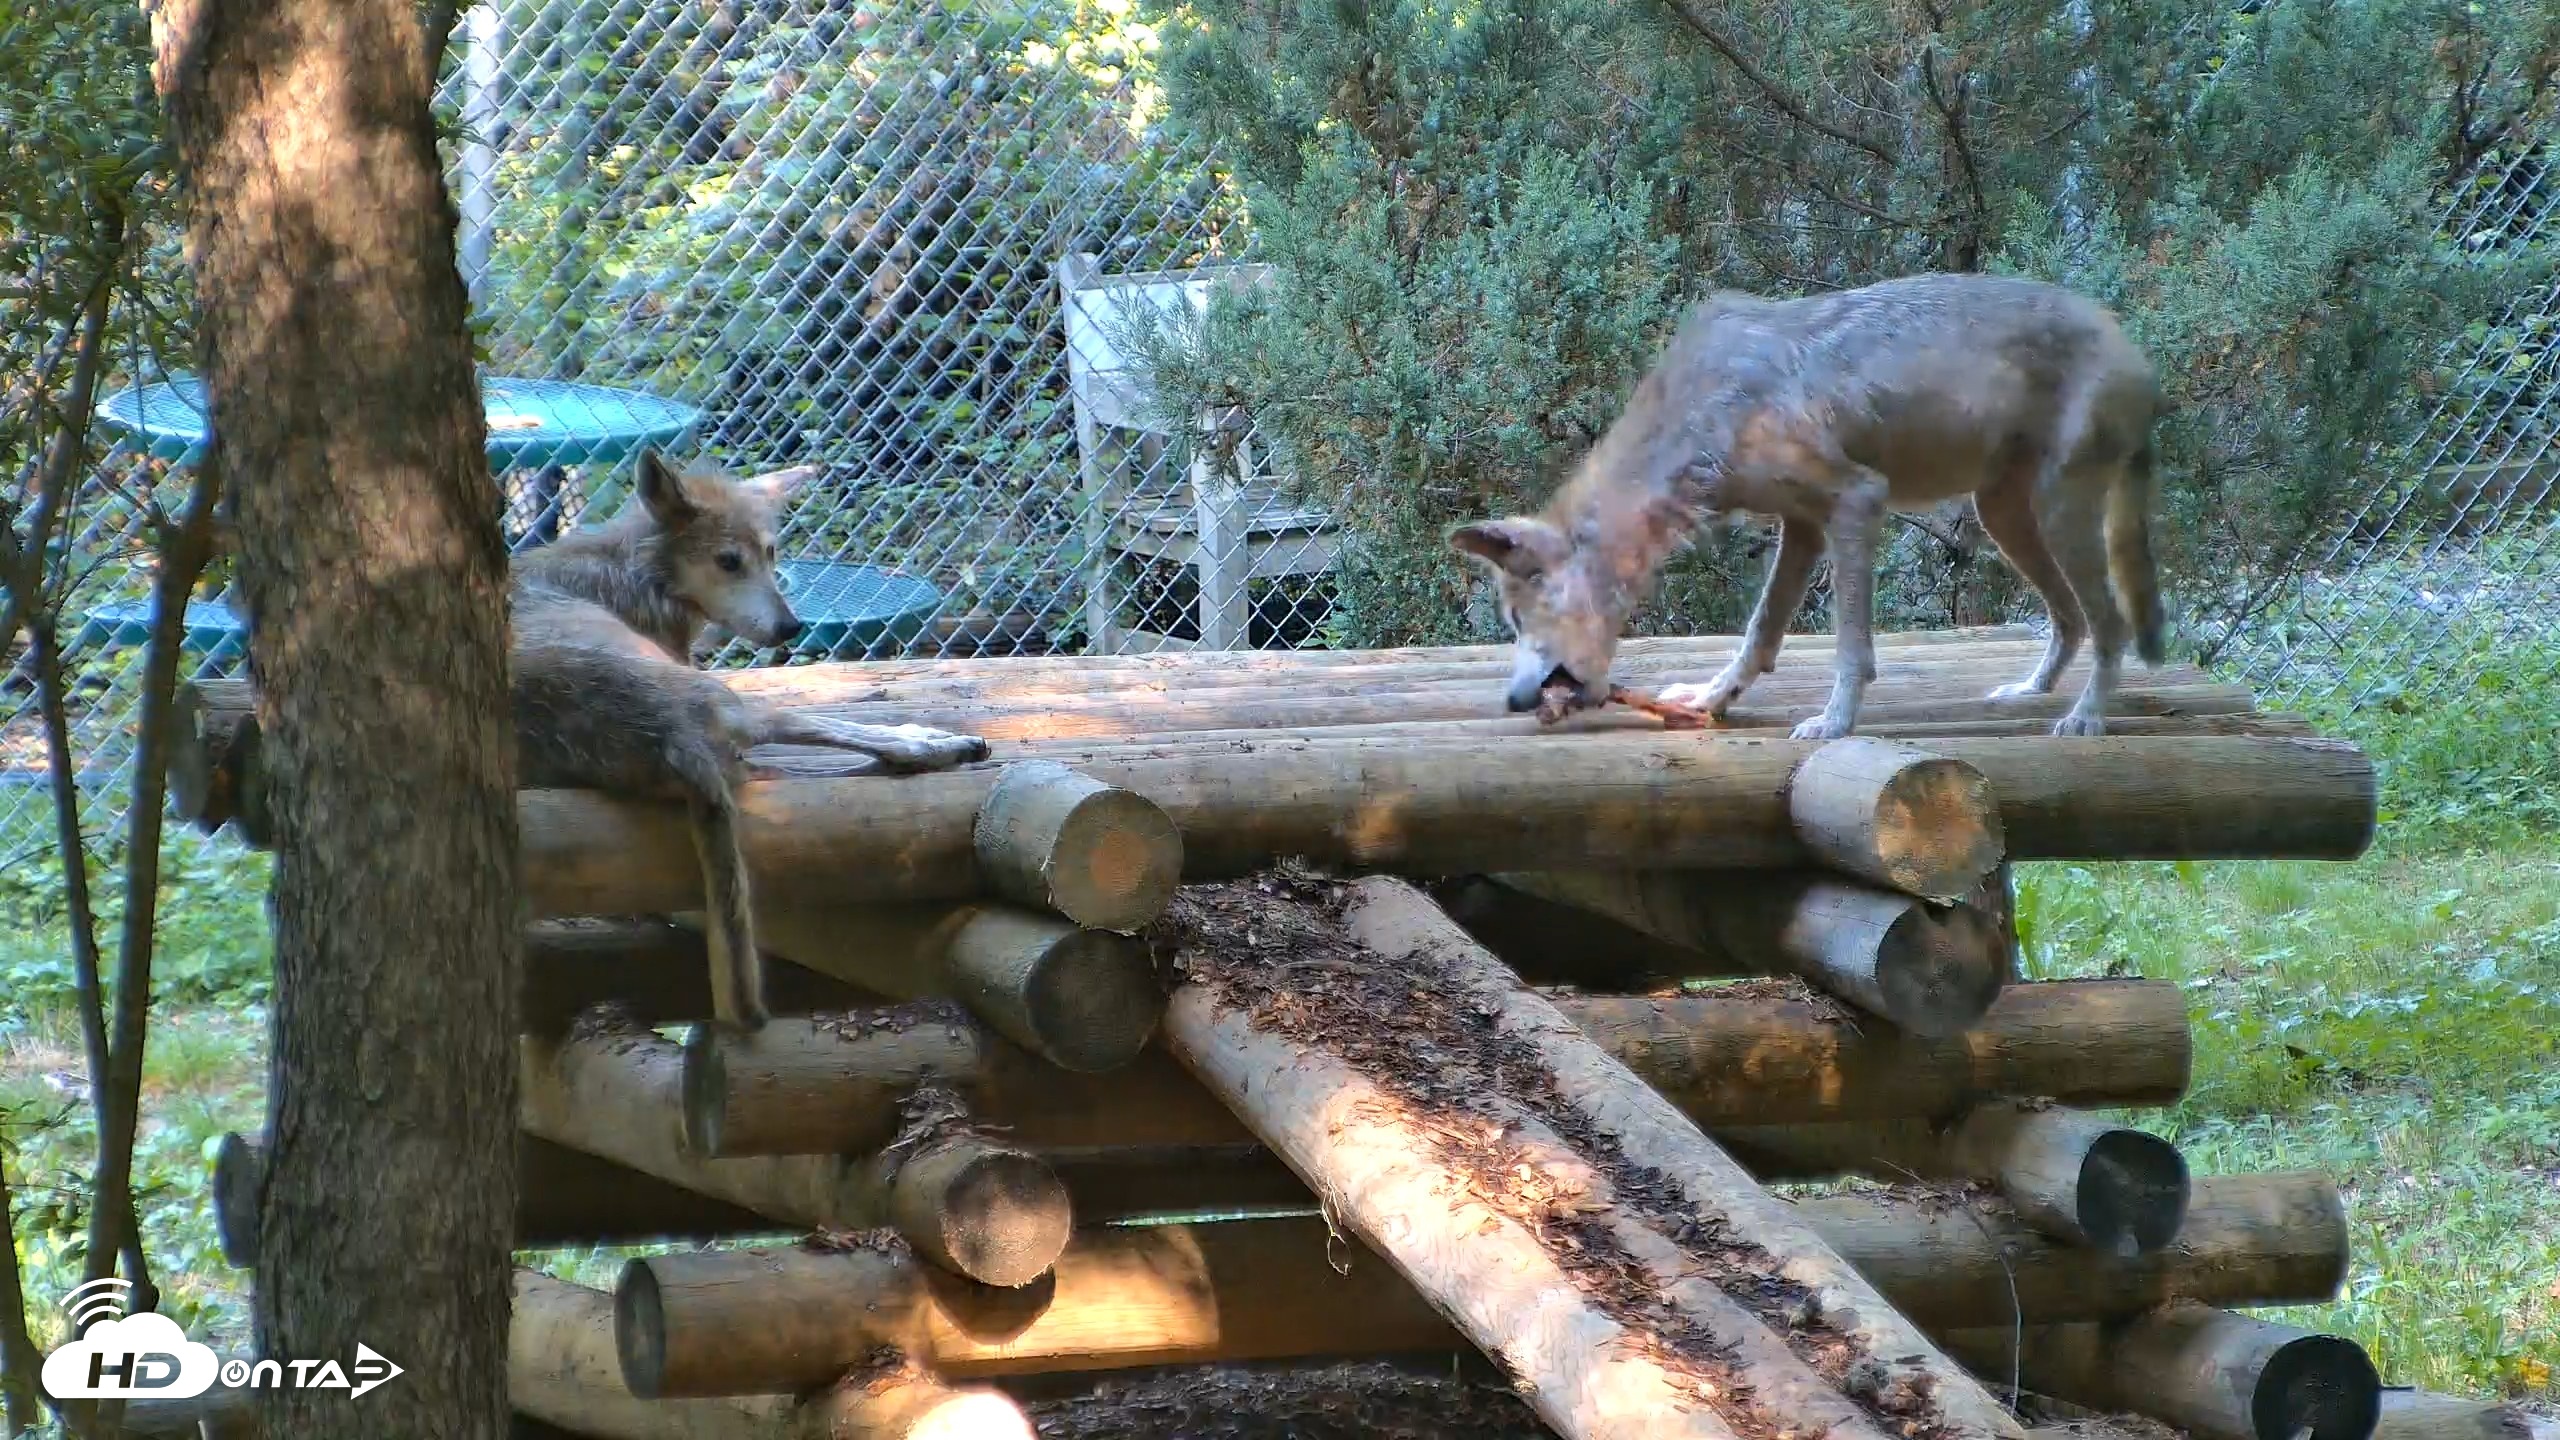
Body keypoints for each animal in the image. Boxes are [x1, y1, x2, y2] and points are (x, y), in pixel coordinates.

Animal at [512, 449, 989, 1032]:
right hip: (722, 698)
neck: (632, 574)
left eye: (771, 552)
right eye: (728, 562)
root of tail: (672, 740)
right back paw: (932, 742)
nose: (790, 628)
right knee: (807, 729)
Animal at [1448, 271, 2170, 741]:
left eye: (1518, 619)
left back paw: (2086, 718)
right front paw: (1712, 699)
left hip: (2055, 517)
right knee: (2071, 619)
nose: (1514, 701)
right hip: (2004, 517)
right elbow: (1760, 633)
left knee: (2111, 625)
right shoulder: (1800, 527)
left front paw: (1835, 723)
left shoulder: (1855, 502)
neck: (1698, 420)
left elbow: (1851, 649)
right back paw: (2031, 691)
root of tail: (2135, 353)